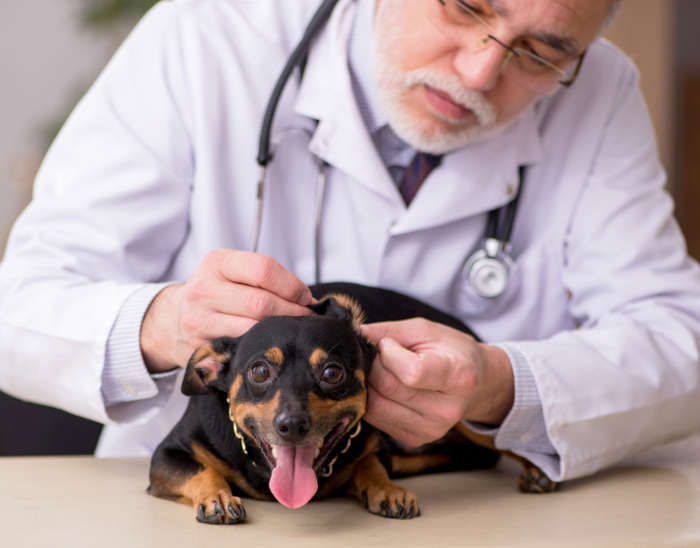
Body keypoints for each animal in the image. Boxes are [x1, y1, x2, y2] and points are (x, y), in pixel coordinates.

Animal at [149, 282, 556, 524]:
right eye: (260, 371)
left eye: (332, 372)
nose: (292, 425)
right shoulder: (166, 455)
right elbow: (201, 470)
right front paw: (217, 497)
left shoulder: (373, 446)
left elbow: (371, 464)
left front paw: (386, 489)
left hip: (469, 414)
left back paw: (537, 471)